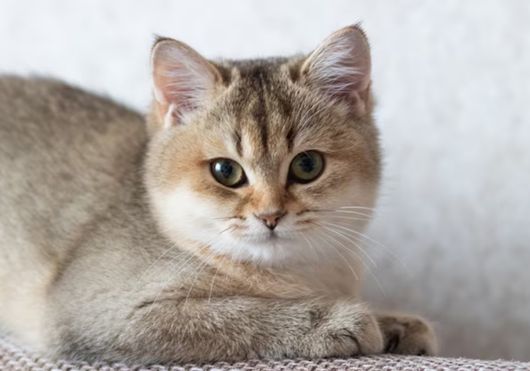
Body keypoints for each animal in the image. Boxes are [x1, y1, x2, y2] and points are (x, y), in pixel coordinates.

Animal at [0, 25, 436, 364]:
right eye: (226, 171)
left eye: (307, 166)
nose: (270, 215)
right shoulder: (99, 314)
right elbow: (235, 315)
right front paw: (343, 320)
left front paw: (395, 324)